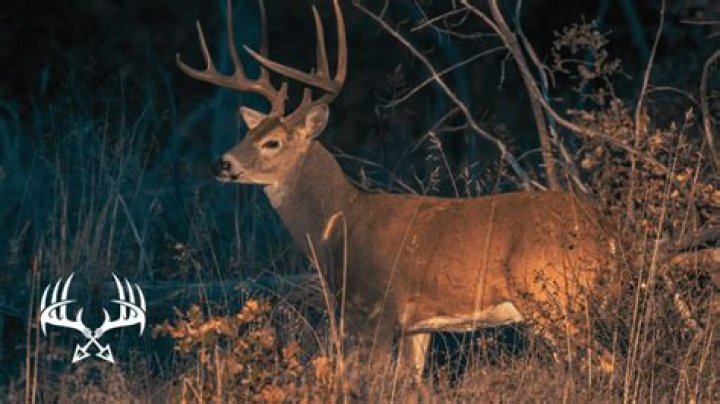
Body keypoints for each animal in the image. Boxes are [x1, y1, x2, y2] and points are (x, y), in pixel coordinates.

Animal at [177, 0, 619, 378]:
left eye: (273, 143)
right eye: (249, 132)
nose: (222, 164)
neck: (341, 225)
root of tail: (604, 231)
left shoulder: (377, 309)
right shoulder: (417, 325)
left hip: (553, 296)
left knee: (603, 361)